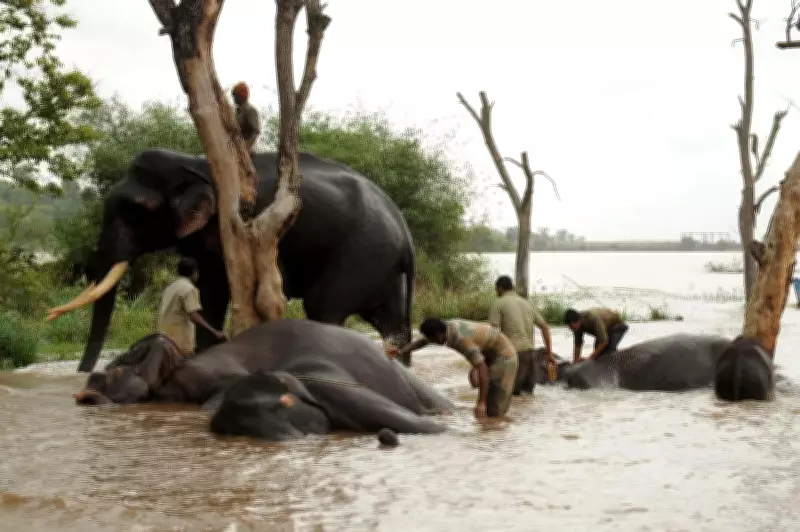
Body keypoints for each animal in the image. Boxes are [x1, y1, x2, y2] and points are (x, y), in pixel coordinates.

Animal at [59, 148, 416, 373]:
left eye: (135, 210)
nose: (82, 374)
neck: (192, 160)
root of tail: (405, 234)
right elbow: (210, 293)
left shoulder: (255, 228)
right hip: (382, 266)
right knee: (392, 323)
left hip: (363, 253)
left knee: (323, 307)